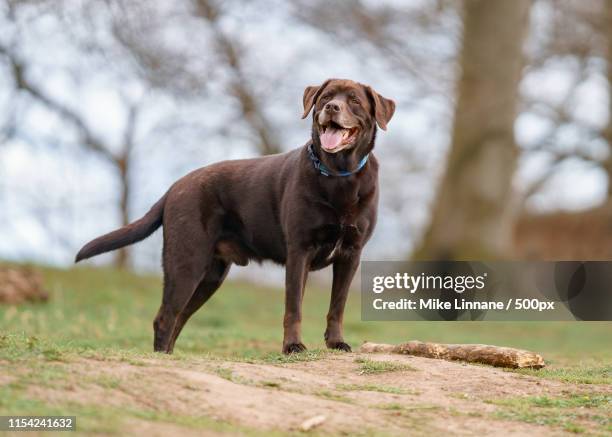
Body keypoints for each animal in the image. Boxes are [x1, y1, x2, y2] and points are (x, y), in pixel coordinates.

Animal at [75, 78, 396, 354]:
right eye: (326, 97)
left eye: (354, 100)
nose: (332, 108)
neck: (339, 176)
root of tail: (174, 187)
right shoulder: (299, 251)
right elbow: (294, 307)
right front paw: (293, 346)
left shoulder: (350, 253)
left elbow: (337, 306)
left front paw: (336, 342)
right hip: (186, 262)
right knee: (166, 317)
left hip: (210, 275)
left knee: (179, 318)